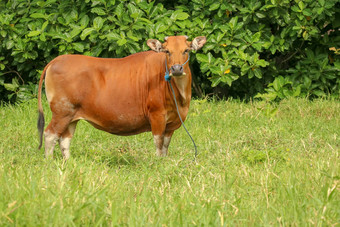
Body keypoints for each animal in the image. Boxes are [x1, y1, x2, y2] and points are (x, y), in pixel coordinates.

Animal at [37, 36, 207, 160]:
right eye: (167, 51)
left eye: (186, 50)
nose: (176, 68)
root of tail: (57, 59)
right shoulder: (157, 116)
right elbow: (159, 144)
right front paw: (158, 163)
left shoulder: (172, 123)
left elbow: (165, 145)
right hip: (61, 111)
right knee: (50, 134)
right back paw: (49, 161)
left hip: (72, 115)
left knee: (64, 139)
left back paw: (68, 162)